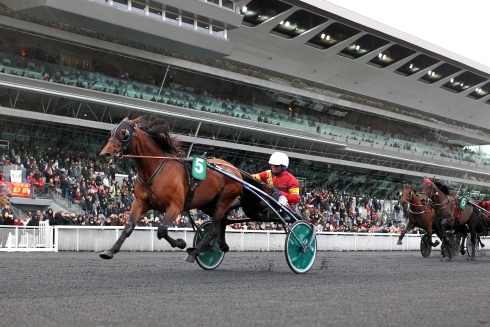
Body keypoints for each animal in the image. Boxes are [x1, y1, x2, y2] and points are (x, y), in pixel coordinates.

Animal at [98, 116, 270, 262]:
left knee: (214, 227)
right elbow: (128, 227)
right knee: (223, 221)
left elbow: (161, 229)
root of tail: (235, 169)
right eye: (111, 132)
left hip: (224, 199)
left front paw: (181, 243)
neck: (155, 169)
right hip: (208, 203)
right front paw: (110, 251)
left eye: (124, 133)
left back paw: (195, 252)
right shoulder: (140, 202)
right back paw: (219, 245)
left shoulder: (176, 206)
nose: (105, 154)